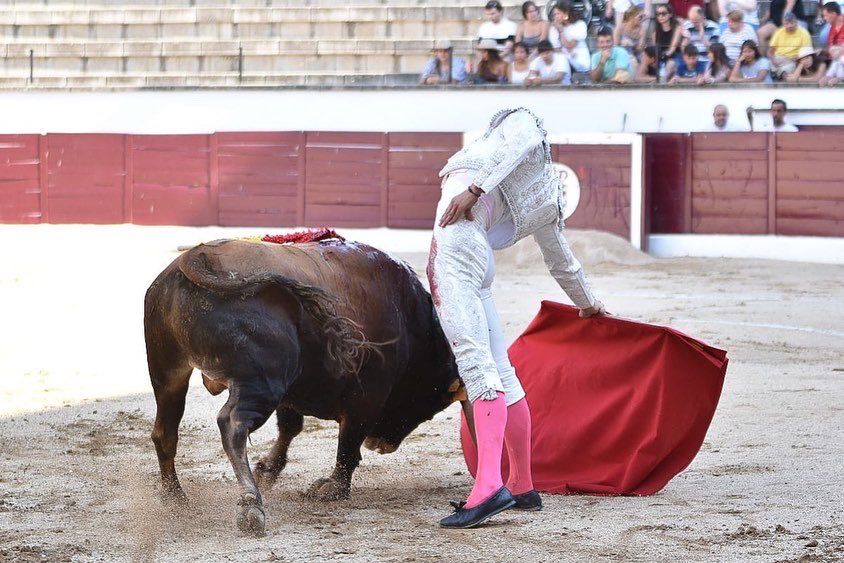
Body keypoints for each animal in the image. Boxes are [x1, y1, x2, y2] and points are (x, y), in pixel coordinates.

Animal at [143, 239, 462, 536]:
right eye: (429, 403)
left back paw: (175, 498)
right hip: (261, 384)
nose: (381, 445)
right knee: (232, 425)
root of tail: (197, 255)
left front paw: (268, 470)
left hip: (168, 373)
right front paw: (332, 489)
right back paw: (250, 506)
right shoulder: (366, 400)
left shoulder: (292, 394)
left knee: (165, 432)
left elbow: (290, 428)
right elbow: (348, 445)